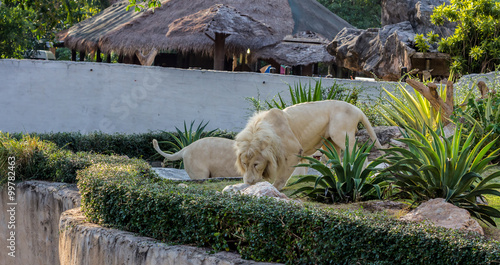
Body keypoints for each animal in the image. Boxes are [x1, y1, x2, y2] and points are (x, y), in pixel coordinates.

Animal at [234, 100, 382, 189]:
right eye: (245, 164)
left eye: (256, 164)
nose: (249, 182)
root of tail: (357, 108)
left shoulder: (294, 150)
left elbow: (282, 175)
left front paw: (274, 188)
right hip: (329, 142)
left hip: (340, 134)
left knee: (360, 155)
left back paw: (359, 177)